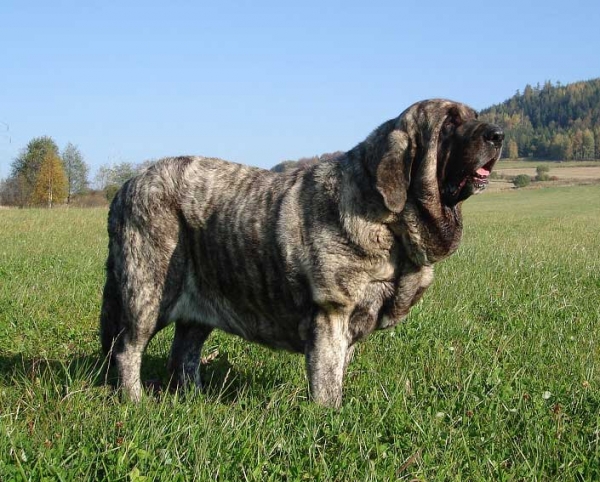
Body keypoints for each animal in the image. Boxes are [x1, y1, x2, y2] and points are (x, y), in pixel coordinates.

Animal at [101, 98, 504, 406]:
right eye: (450, 123)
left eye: (473, 116)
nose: (497, 134)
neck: (390, 221)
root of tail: (127, 186)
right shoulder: (331, 315)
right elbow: (326, 381)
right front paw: (329, 419)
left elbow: (338, 371)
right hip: (149, 293)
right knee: (127, 348)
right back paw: (135, 400)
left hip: (200, 303)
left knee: (183, 353)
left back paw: (195, 399)